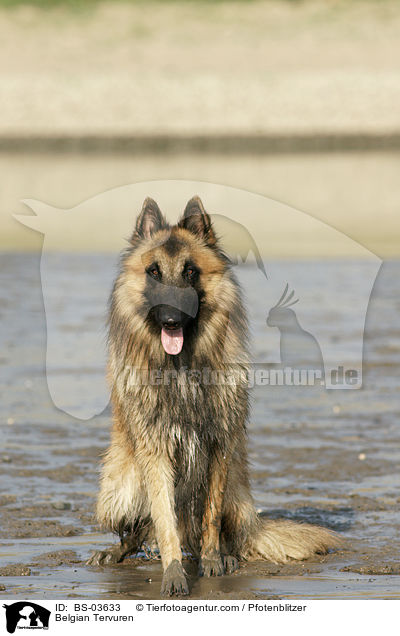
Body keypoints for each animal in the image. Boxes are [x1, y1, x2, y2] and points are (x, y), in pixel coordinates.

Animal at [86, 196, 338, 592]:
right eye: (153, 272)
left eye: (190, 272)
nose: (171, 319)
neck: (183, 368)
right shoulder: (156, 452)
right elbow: (165, 519)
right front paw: (174, 571)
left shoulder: (219, 447)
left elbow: (211, 515)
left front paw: (212, 560)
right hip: (120, 484)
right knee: (139, 529)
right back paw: (116, 552)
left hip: (237, 487)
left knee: (231, 532)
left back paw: (229, 553)